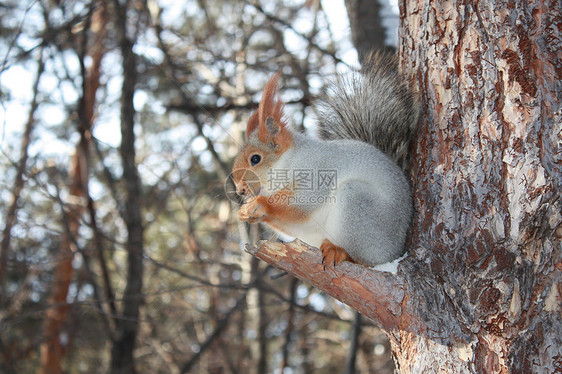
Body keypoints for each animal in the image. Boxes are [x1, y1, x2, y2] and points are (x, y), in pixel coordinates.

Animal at [230, 53, 418, 268]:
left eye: (255, 159)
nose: (240, 190)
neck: (287, 162)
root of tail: (397, 249)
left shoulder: (318, 170)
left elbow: (302, 201)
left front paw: (260, 204)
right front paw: (245, 212)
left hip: (359, 207)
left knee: (368, 260)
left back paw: (340, 252)